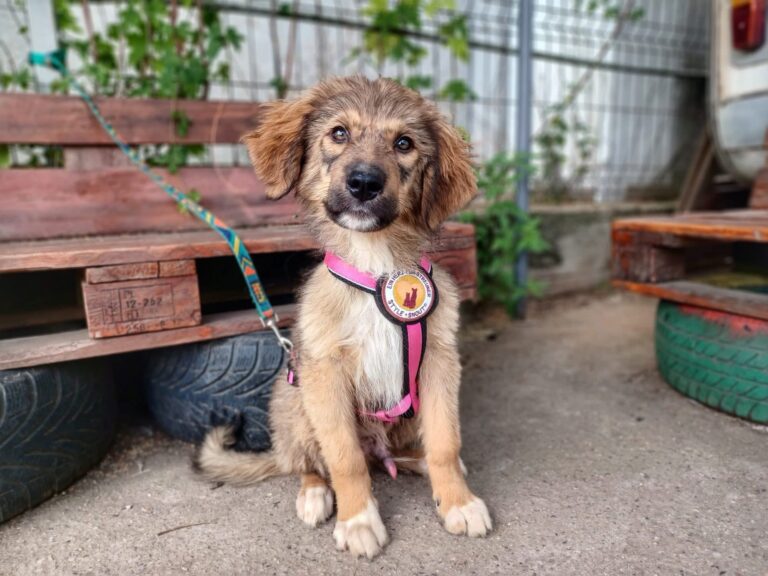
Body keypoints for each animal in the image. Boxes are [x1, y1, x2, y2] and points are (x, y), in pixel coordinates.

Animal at [195, 76, 491, 558]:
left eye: (404, 143)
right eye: (338, 133)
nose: (364, 183)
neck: (376, 267)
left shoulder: (438, 362)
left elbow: (446, 443)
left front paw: (458, 502)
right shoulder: (325, 374)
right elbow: (345, 459)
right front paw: (358, 520)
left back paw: (419, 464)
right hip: (293, 398)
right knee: (310, 462)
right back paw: (315, 493)